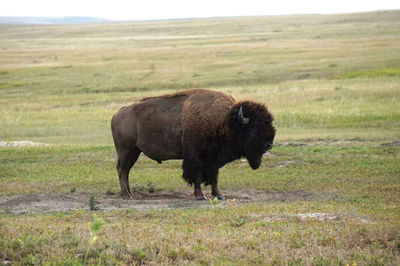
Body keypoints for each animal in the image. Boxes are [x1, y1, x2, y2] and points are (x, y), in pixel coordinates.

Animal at [111, 89, 276, 200]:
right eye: (255, 126)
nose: (269, 144)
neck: (223, 121)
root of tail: (118, 114)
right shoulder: (196, 157)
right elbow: (197, 176)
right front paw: (199, 196)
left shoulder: (213, 159)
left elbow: (215, 176)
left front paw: (219, 195)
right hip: (125, 150)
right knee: (121, 169)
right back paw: (126, 195)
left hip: (135, 151)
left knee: (126, 170)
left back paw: (129, 193)